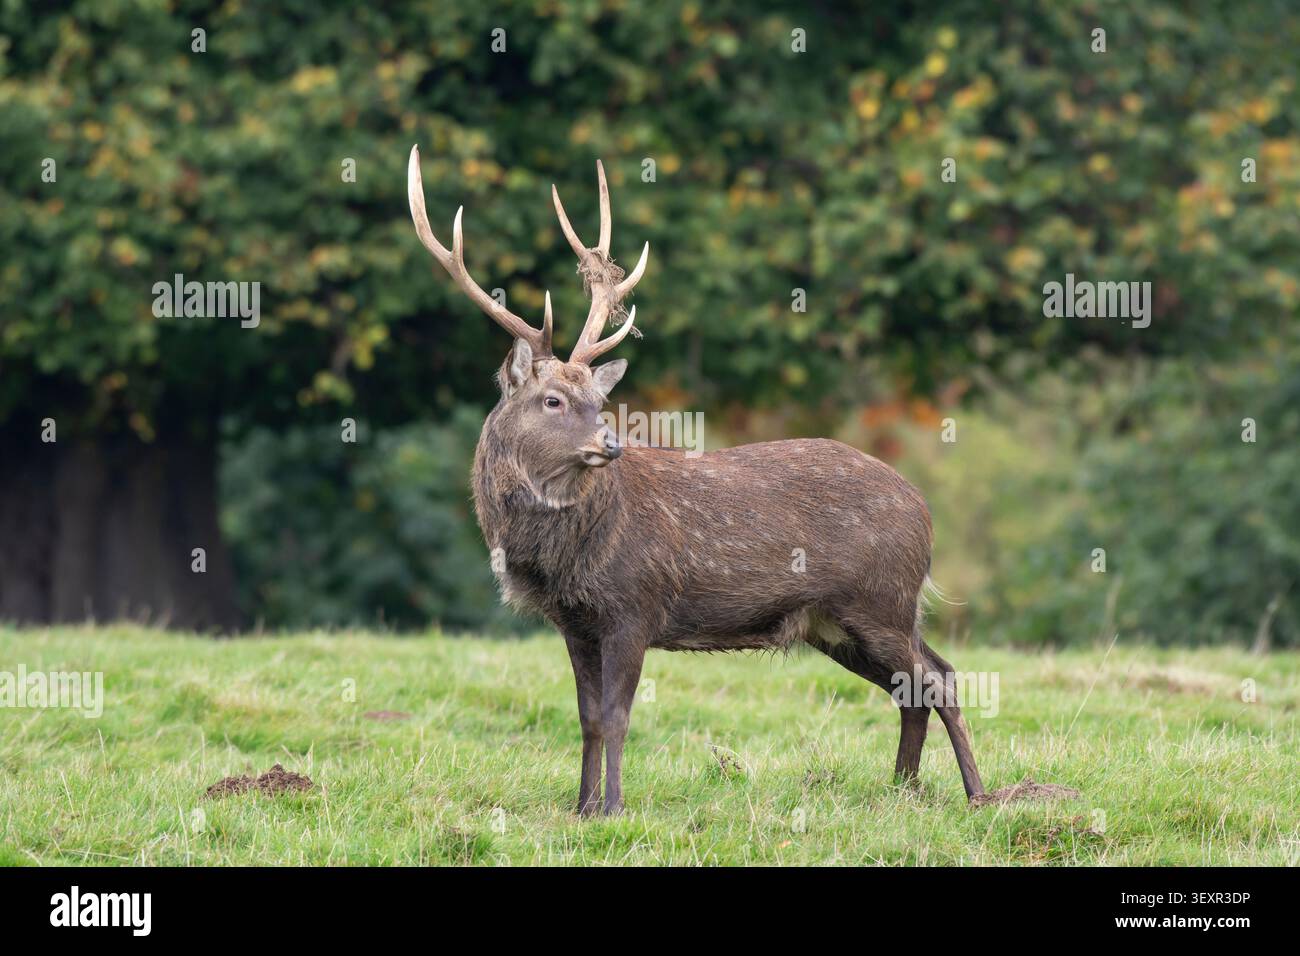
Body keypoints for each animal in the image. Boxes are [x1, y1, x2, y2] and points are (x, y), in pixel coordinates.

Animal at [407, 145, 986, 815]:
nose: (610, 443)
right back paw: (903, 789)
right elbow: (587, 717)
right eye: (553, 400)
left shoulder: (633, 605)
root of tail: (925, 510)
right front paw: (580, 808)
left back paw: (978, 794)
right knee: (916, 684)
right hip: (842, 621)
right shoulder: (575, 622)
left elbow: (618, 716)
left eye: (598, 400)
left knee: (939, 680)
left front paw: (613, 808)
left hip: (879, 599)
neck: (564, 555)